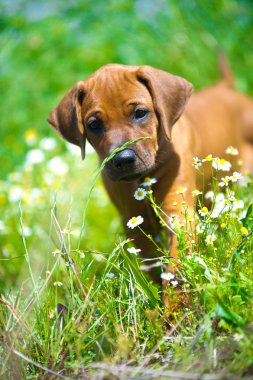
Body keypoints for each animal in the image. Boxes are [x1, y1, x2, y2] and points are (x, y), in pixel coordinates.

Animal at [47, 63, 253, 310]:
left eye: (140, 113)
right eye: (94, 125)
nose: (123, 159)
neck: (143, 180)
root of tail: (225, 87)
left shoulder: (178, 213)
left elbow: (175, 266)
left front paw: (175, 309)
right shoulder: (134, 222)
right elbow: (151, 262)